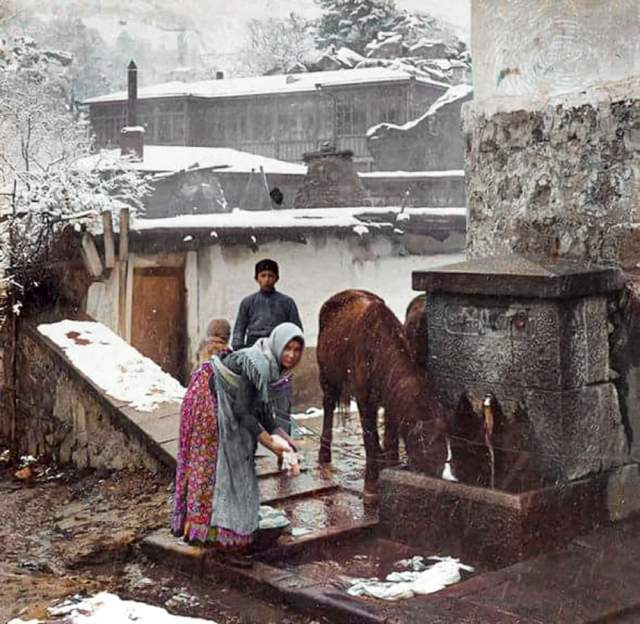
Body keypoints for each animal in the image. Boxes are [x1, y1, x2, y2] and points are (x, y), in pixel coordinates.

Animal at [318, 288, 448, 498]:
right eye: (423, 455)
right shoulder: (364, 399)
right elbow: (370, 437)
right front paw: (371, 487)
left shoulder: (390, 402)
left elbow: (390, 438)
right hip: (327, 378)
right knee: (328, 407)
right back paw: (324, 455)